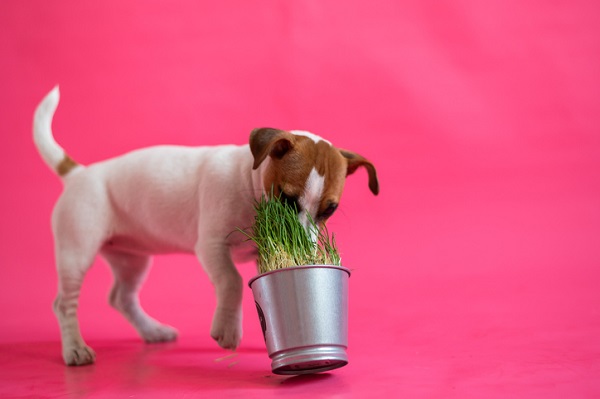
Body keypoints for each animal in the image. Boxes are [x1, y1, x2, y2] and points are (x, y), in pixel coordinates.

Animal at [32, 86, 378, 366]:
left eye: (329, 210)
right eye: (287, 199)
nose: (305, 246)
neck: (248, 181)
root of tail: (78, 174)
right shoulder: (212, 246)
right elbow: (232, 281)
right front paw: (227, 330)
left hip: (132, 259)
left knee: (122, 297)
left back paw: (152, 331)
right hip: (77, 251)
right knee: (64, 304)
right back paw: (75, 349)